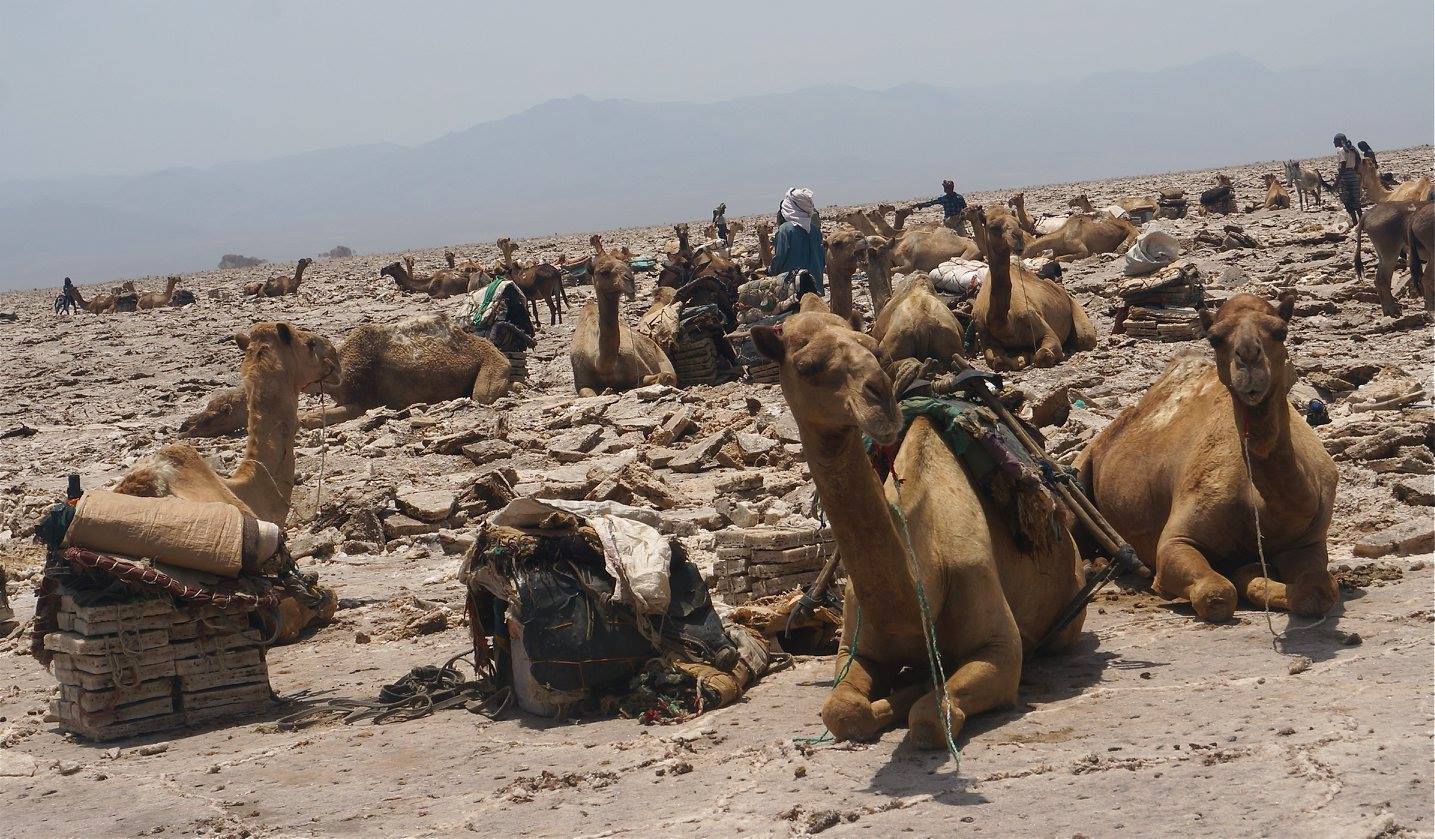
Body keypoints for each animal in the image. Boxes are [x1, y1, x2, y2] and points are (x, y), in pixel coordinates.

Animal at [568, 233, 674, 392]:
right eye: (604, 272)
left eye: (627, 264)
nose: (630, 281)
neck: (602, 365)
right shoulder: (582, 382)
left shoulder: (639, 371)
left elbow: (662, 377)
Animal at [751, 294, 1084, 745]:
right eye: (807, 366)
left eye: (875, 350)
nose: (880, 398)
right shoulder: (857, 649)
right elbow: (843, 711)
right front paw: (904, 689)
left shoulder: (1000, 649)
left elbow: (930, 718)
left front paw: (919, 690)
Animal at [964, 205, 1096, 367]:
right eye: (993, 226)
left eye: (1019, 223)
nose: (1018, 236)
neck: (1005, 325)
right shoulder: (983, 332)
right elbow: (997, 361)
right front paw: (1021, 357)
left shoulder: (1043, 329)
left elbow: (1043, 354)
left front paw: (1033, 356)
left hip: (1075, 309)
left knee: (1086, 339)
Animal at [1079, 291, 1343, 619]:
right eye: (1215, 338)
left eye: (1281, 331)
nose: (1248, 358)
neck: (1258, 506)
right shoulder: (1176, 541)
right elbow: (1216, 594)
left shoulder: (1309, 543)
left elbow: (1316, 591)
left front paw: (1253, 573)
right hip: (1083, 462)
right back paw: (1092, 568)